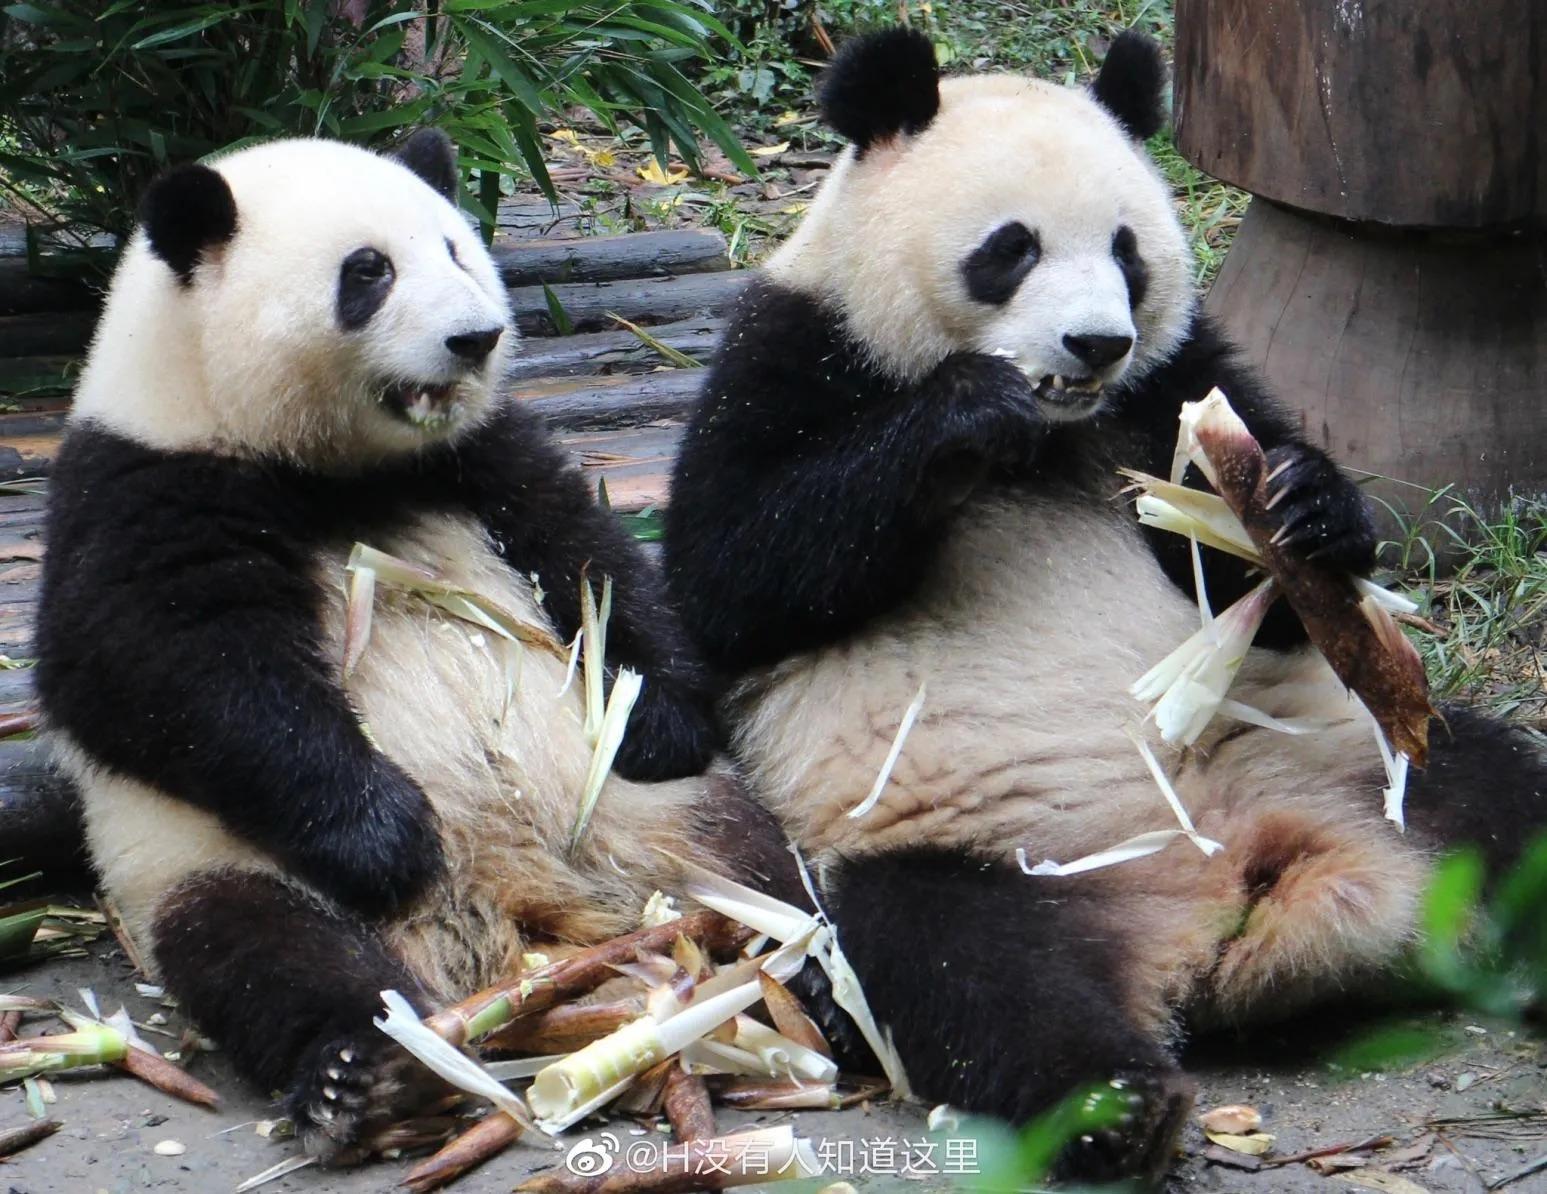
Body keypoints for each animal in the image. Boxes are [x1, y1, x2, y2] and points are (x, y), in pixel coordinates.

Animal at [34, 131, 814, 1164]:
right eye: (367, 272)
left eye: (455, 249)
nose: (475, 337)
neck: (330, 468)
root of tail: (517, 906)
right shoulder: (144, 483)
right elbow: (156, 669)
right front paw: (386, 831)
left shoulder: (481, 456)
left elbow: (591, 562)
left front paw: (656, 718)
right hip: (216, 862)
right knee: (264, 949)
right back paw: (365, 1076)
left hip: (661, 817)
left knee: (769, 869)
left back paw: (815, 977)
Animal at [663, 28, 1547, 1185]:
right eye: (1010, 248)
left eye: (1128, 251)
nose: (1095, 344)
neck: (1052, 433)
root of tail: (1236, 893)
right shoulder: (793, 349)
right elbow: (729, 575)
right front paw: (961, 414)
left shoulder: (1173, 378)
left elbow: (1252, 575)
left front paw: (1306, 507)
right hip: (987, 852)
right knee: (963, 967)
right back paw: (1119, 1107)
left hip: (1364, 762)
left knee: (1502, 792)